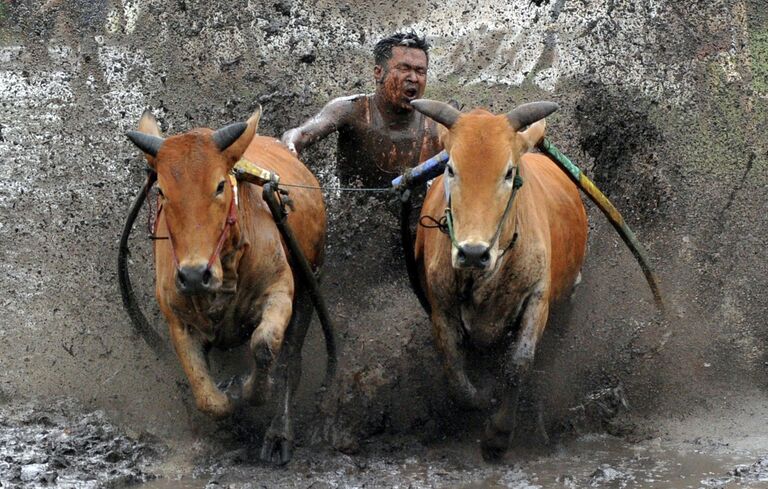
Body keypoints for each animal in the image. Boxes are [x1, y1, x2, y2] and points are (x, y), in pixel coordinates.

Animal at [127, 105, 326, 464]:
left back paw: (279, 433)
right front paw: (228, 397)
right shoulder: (178, 318)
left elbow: (264, 346)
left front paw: (250, 388)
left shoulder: (280, 291)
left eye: (220, 186)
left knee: (291, 361)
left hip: (309, 283)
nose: (194, 275)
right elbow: (207, 397)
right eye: (161, 191)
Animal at [414, 98, 588, 458]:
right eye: (450, 169)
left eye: (508, 172)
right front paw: (481, 397)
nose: (472, 252)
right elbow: (455, 371)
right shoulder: (441, 307)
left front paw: (499, 433)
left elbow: (518, 364)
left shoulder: (537, 298)